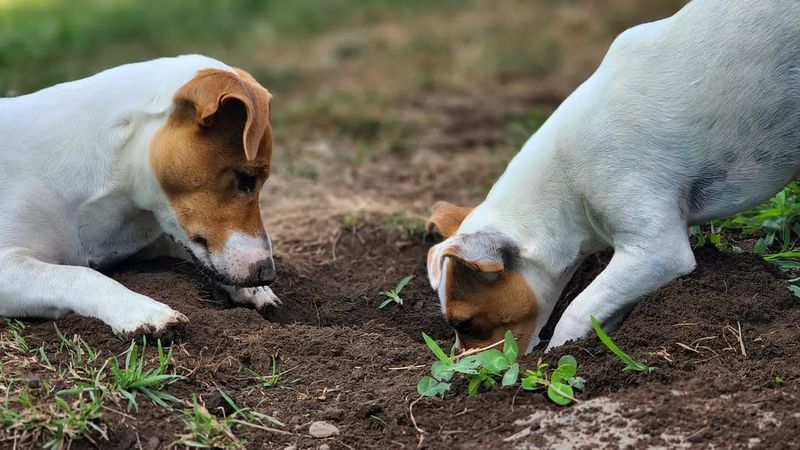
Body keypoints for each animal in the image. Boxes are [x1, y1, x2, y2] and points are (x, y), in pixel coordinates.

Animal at [424, 0, 800, 352]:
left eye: (464, 323)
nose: (461, 366)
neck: (566, 185)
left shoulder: (657, 252)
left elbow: (575, 311)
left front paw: (558, 351)